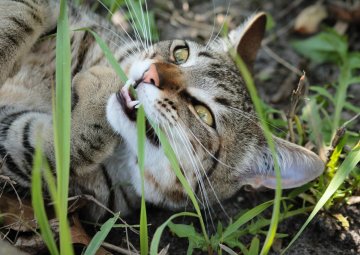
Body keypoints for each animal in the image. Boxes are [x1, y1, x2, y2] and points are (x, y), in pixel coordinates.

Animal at [0, 0, 324, 220]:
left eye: (203, 114)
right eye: (181, 53)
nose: (152, 74)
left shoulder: (21, 154)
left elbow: (56, 147)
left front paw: (100, 85)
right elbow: (26, 11)